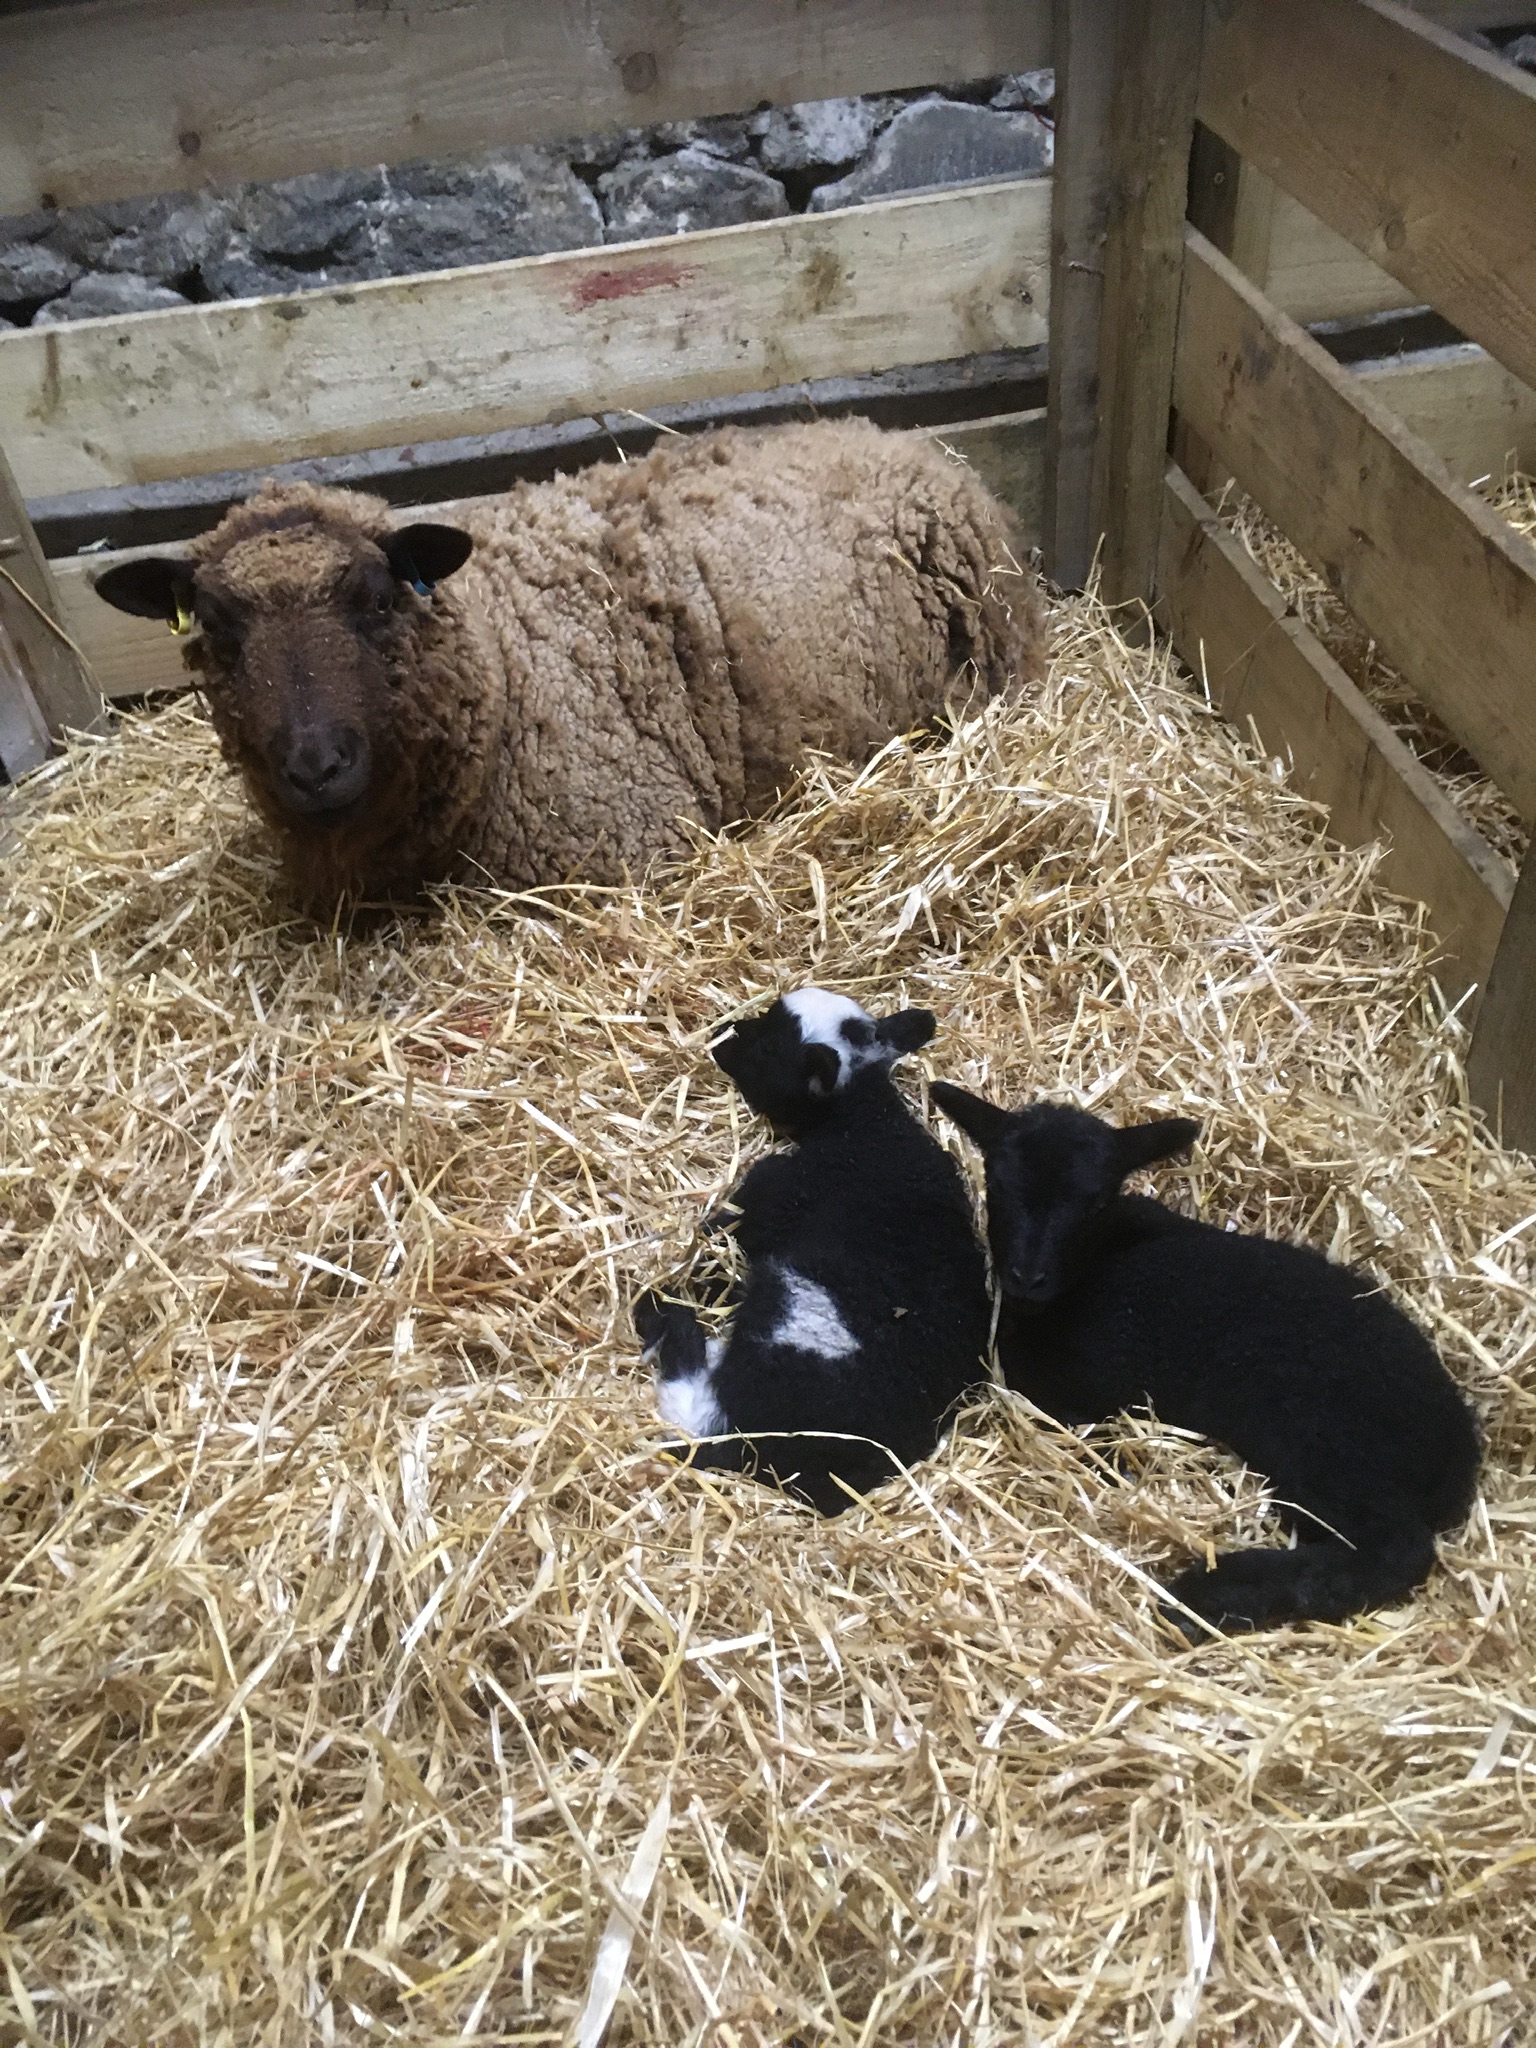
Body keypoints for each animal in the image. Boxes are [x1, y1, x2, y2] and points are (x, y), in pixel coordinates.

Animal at [633, 988, 992, 1515]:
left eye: (768, 1048)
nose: (721, 1036)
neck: (864, 1124)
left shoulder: (770, 1196)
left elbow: (716, 1241)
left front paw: (666, 1292)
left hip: (783, 1322)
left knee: (695, 1402)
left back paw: (665, 1319)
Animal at [930, 1086, 1482, 1633]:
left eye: (1095, 1202)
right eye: (995, 1183)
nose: (1027, 1276)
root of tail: (1459, 1455)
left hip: (1334, 1450)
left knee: (1393, 1550)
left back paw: (1206, 1597)